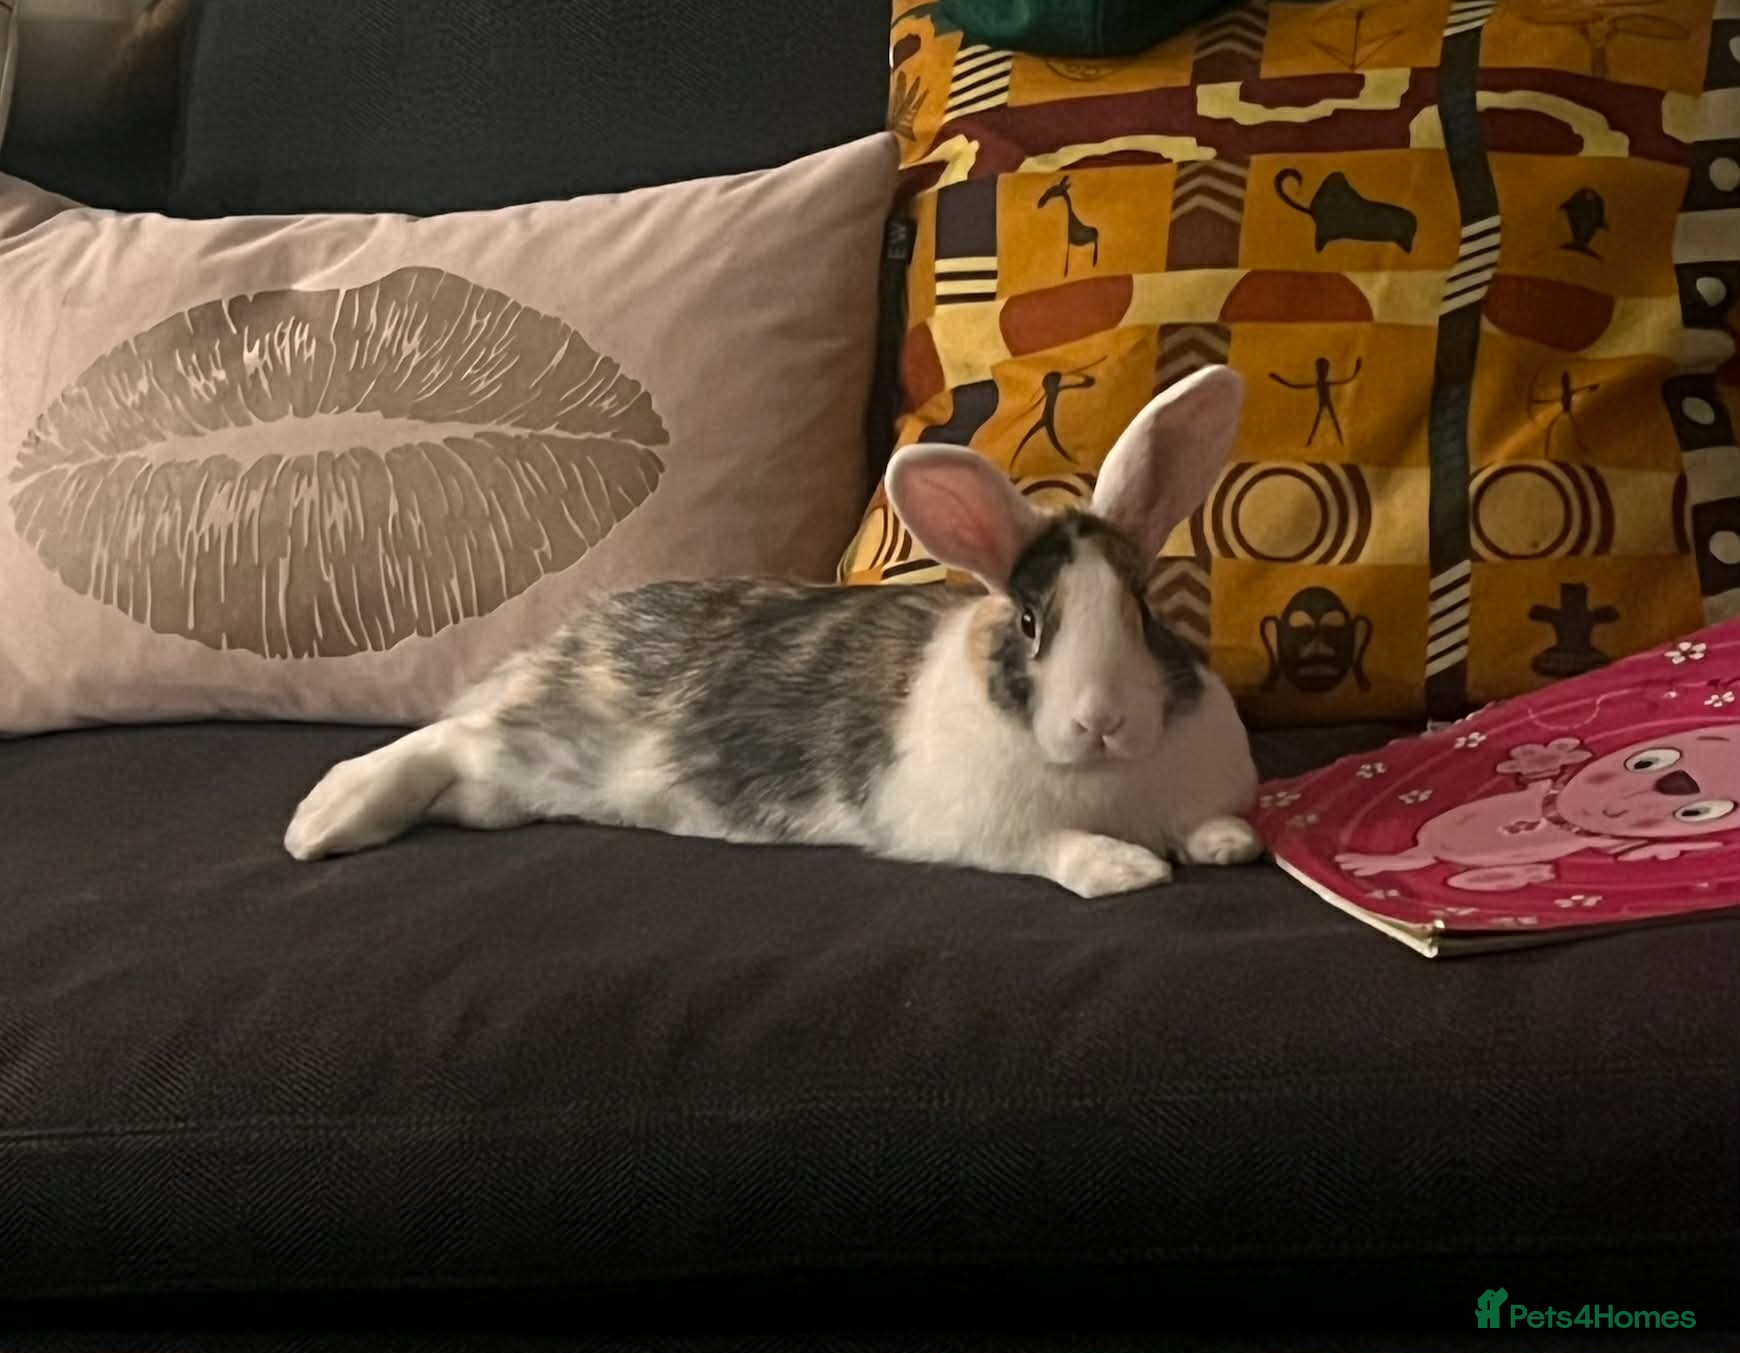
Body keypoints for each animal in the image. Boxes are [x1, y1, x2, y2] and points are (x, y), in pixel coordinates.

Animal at [283, 365, 1264, 898]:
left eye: (1143, 610)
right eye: (1030, 621)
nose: (1102, 721)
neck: (1104, 778)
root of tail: (569, 640)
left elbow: (1201, 821)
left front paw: (1227, 843)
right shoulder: (987, 833)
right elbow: (1059, 848)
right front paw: (1129, 870)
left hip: (514, 787)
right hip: (542, 735)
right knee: (447, 736)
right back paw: (320, 823)